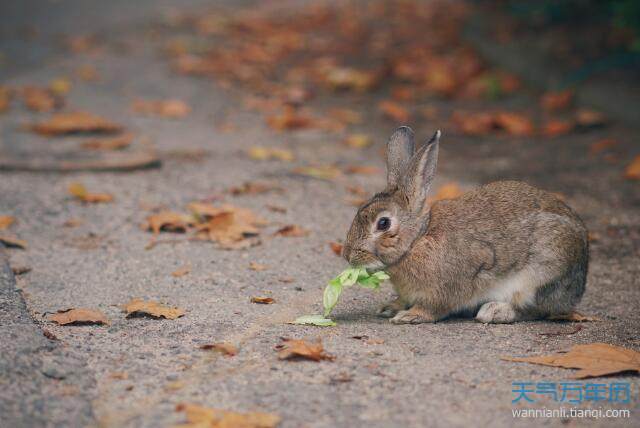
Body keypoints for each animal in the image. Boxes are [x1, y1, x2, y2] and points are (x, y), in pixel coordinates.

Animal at [342, 127, 588, 324]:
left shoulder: (446, 287)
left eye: (383, 223)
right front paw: (390, 308)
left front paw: (410, 316)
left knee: (536, 309)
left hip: (542, 273)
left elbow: (434, 307)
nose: (348, 255)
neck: (417, 240)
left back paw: (495, 312)